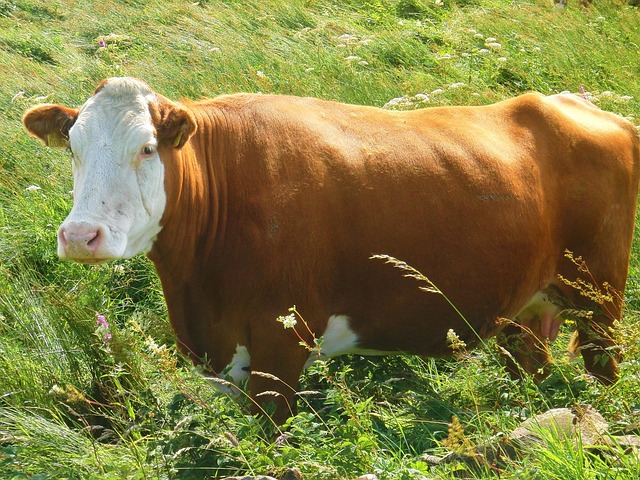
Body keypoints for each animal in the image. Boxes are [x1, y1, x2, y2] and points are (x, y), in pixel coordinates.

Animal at [23, 77, 640, 423]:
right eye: (73, 146)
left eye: (148, 148)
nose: (80, 236)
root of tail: (578, 104)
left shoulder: (282, 340)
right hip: (529, 310)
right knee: (531, 369)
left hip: (601, 299)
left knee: (605, 372)